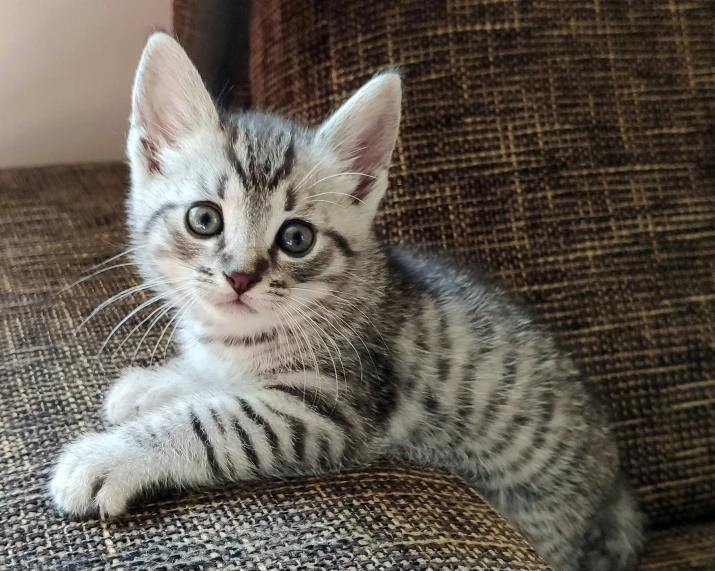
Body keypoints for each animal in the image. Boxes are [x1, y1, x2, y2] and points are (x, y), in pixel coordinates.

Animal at [49, 32, 644, 571]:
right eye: (204, 219)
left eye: (296, 238)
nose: (239, 277)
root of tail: (614, 490)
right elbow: (208, 377)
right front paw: (154, 385)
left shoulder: (328, 407)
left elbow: (216, 422)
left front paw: (109, 456)